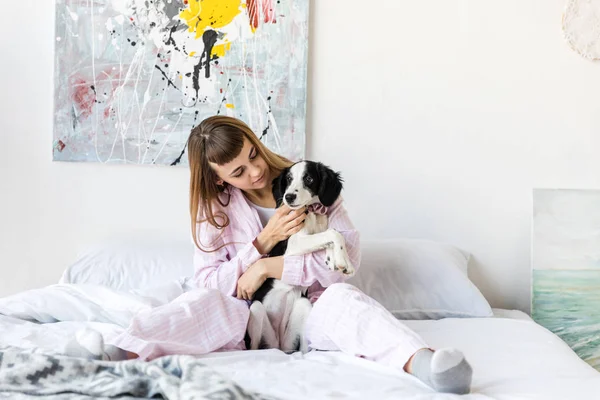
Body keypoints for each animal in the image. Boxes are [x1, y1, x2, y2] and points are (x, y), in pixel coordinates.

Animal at [245, 159, 354, 354]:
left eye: (309, 178)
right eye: (288, 179)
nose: (288, 197)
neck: (312, 212)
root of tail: (279, 346)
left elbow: (328, 236)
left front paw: (334, 260)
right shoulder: (294, 243)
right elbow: (333, 233)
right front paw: (343, 261)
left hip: (304, 307)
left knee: (303, 349)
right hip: (257, 310)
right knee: (253, 348)